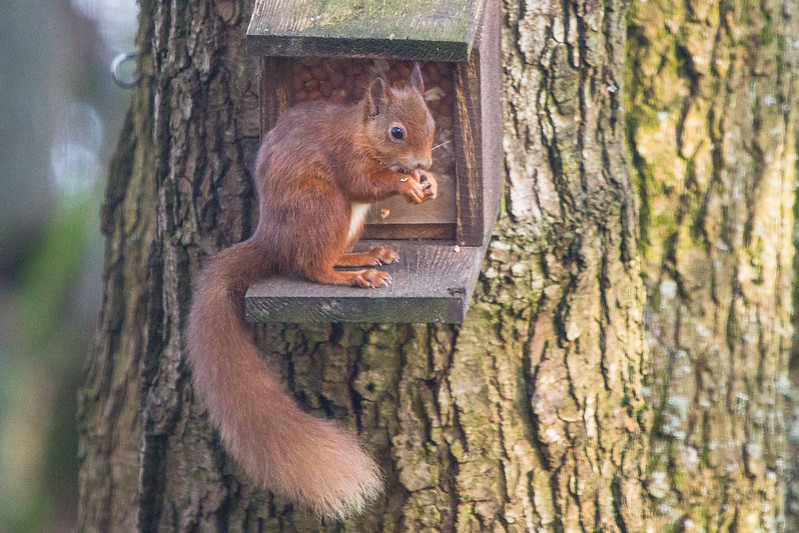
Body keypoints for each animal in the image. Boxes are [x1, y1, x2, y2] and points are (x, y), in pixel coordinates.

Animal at [188, 62, 438, 516]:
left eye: (431, 123)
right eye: (396, 132)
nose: (424, 162)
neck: (361, 132)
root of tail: (271, 239)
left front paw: (429, 183)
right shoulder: (348, 156)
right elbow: (363, 183)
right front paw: (407, 185)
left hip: (346, 222)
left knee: (329, 256)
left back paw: (365, 256)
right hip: (325, 206)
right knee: (314, 267)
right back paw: (355, 276)